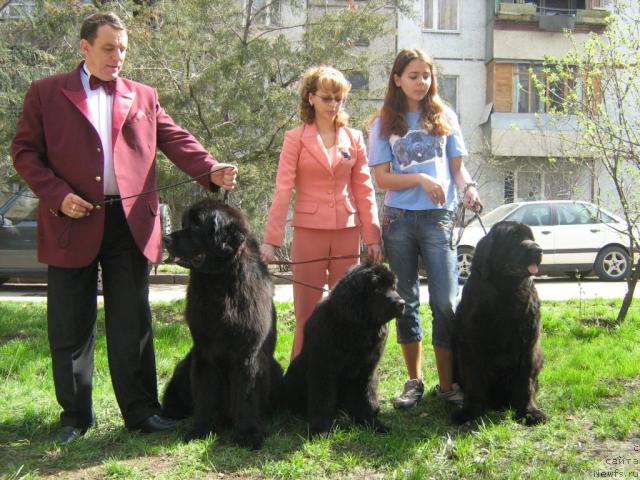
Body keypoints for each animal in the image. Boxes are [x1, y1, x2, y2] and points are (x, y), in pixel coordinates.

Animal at [161, 197, 282, 448]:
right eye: (184, 223)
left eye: (196, 226)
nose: (165, 239)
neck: (219, 283)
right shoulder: (205, 351)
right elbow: (206, 394)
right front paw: (200, 429)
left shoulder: (248, 353)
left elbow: (246, 394)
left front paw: (249, 433)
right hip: (184, 364)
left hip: (275, 368)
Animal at [282, 262, 404, 436]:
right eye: (378, 288)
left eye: (393, 287)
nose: (402, 303)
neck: (358, 328)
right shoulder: (323, 370)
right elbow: (323, 400)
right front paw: (320, 430)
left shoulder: (366, 370)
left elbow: (365, 397)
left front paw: (371, 423)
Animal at [452, 221, 548, 428]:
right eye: (513, 238)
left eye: (531, 237)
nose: (538, 249)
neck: (507, 291)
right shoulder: (471, 346)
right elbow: (474, 382)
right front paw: (469, 411)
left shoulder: (528, 347)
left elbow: (525, 383)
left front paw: (530, 412)